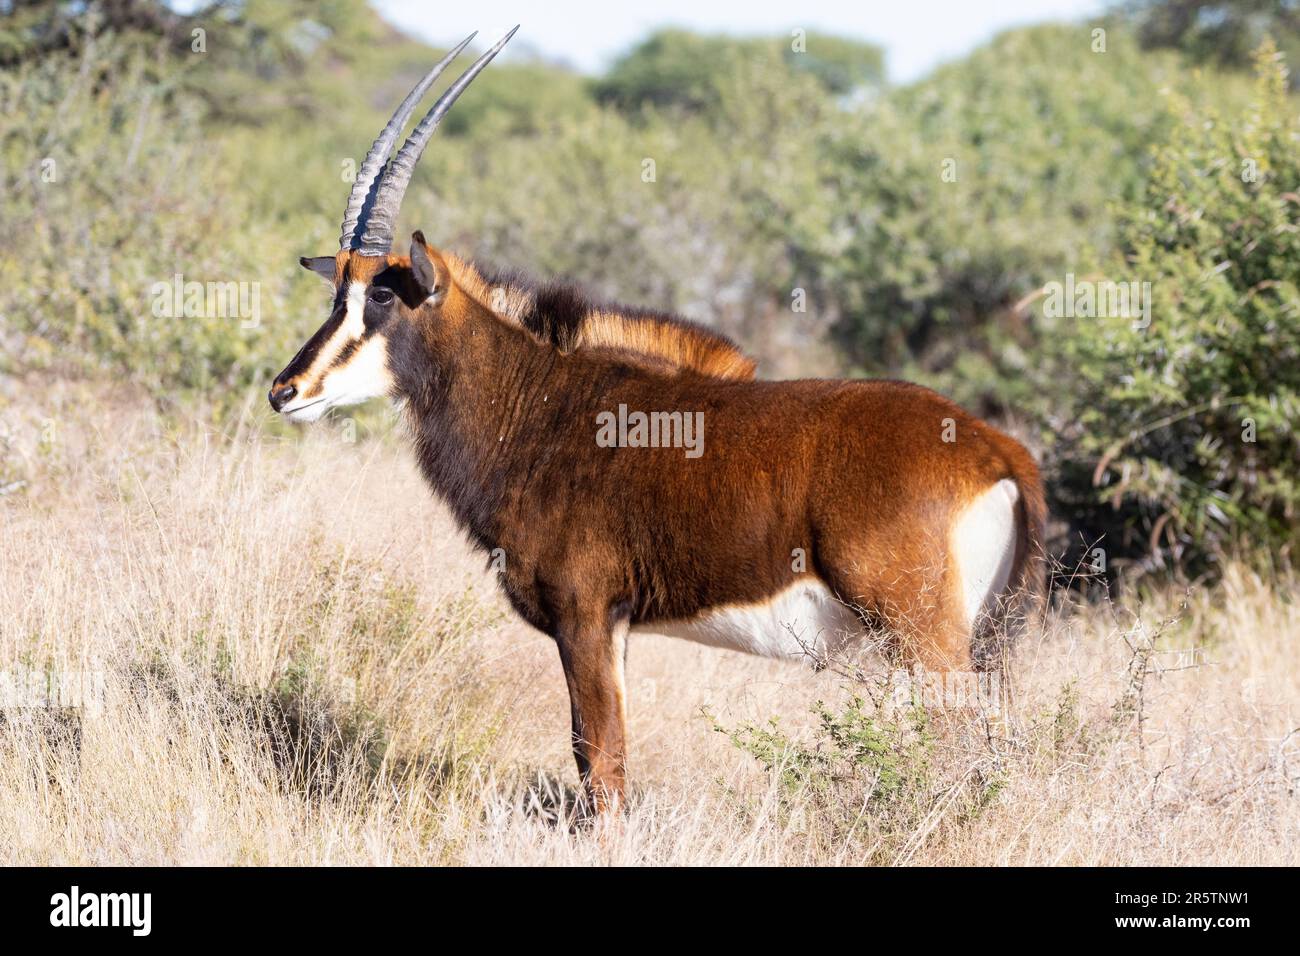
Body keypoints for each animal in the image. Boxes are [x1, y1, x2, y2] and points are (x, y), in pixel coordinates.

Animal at [271, 26, 1045, 811]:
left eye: (382, 298)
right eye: (336, 294)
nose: (285, 389)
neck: (540, 404)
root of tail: (997, 451)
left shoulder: (585, 614)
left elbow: (600, 760)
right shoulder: (615, 626)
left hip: (924, 638)